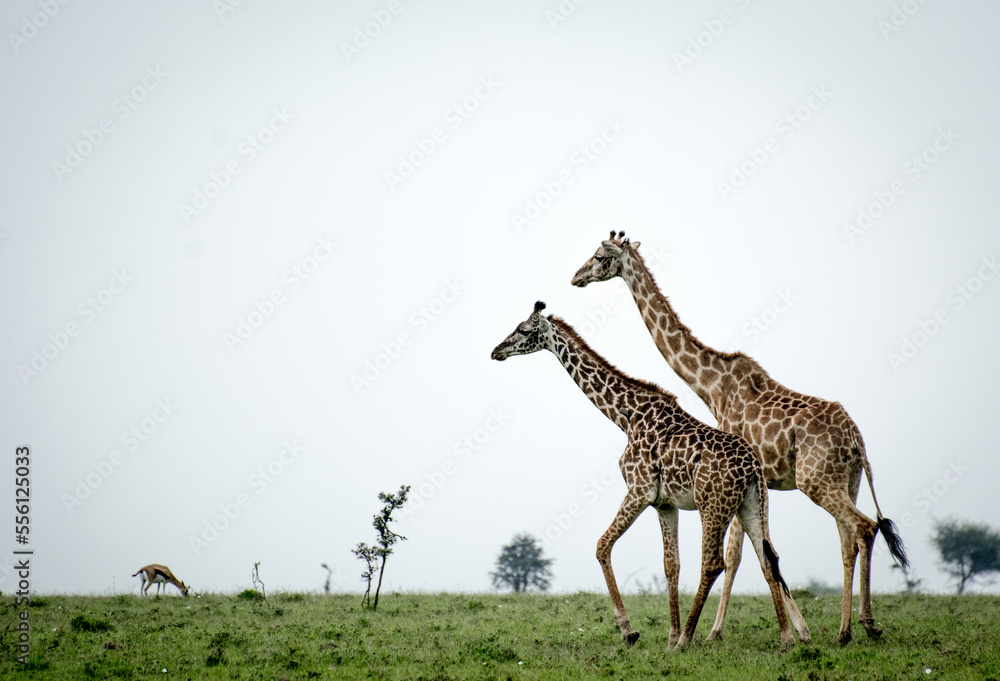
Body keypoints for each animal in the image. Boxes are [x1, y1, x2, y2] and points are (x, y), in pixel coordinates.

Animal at [491, 301, 795, 650]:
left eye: (524, 329)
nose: (496, 350)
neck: (626, 417)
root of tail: (753, 466)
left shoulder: (639, 490)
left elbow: (602, 545)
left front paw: (631, 631)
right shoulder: (665, 503)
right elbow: (671, 565)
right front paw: (669, 637)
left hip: (713, 504)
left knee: (713, 563)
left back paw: (689, 638)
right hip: (751, 504)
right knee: (768, 559)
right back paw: (787, 638)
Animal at [570, 231, 908, 645]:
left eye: (600, 257)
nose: (576, 277)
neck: (712, 385)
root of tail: (857, 439)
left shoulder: (735, 479)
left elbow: (734, 555)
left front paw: (715, 632)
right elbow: (758, 552)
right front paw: (796, 630)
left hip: (817, 480)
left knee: (863, 528)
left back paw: (860, 627)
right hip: (849, 480)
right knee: (849, 538)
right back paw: (852, 628)